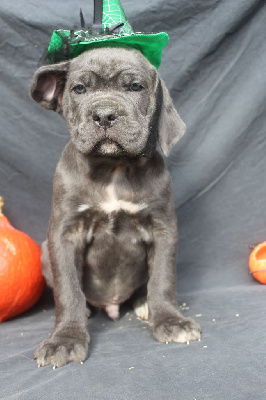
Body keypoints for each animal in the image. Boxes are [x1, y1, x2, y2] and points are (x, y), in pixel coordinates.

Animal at [30, 47, 202, 368]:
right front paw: (65, 339)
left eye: (135, 87)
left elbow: (163, 279)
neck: (113, 168)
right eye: (79, 89)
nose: (104, 114)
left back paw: (144, 303)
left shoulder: (162, 228)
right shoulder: (64, 234)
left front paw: (171, 321)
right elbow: (68, 289)